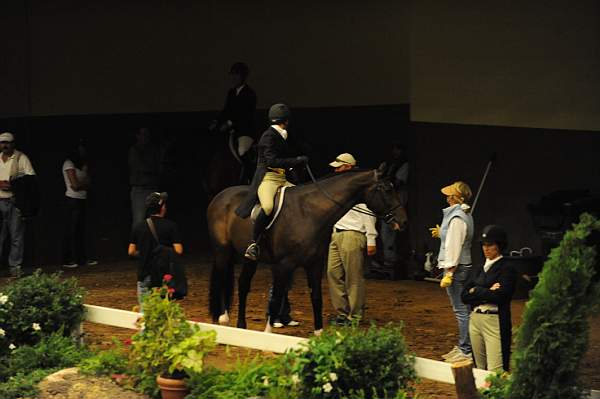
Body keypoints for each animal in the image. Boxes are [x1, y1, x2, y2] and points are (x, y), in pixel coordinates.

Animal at [206, 169, 408, 334]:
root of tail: (220, 196)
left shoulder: (314, 264)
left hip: (250, 258)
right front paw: (268, 333)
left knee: (243, 284)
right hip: (222, 251)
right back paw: (223, 318)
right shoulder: (283, 265)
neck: (309, 212)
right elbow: (276, 297)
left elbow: (316, 298)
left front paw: (319, 334)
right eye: (386, 190)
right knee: (222, 279)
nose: (403, 221)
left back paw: (241, 325)